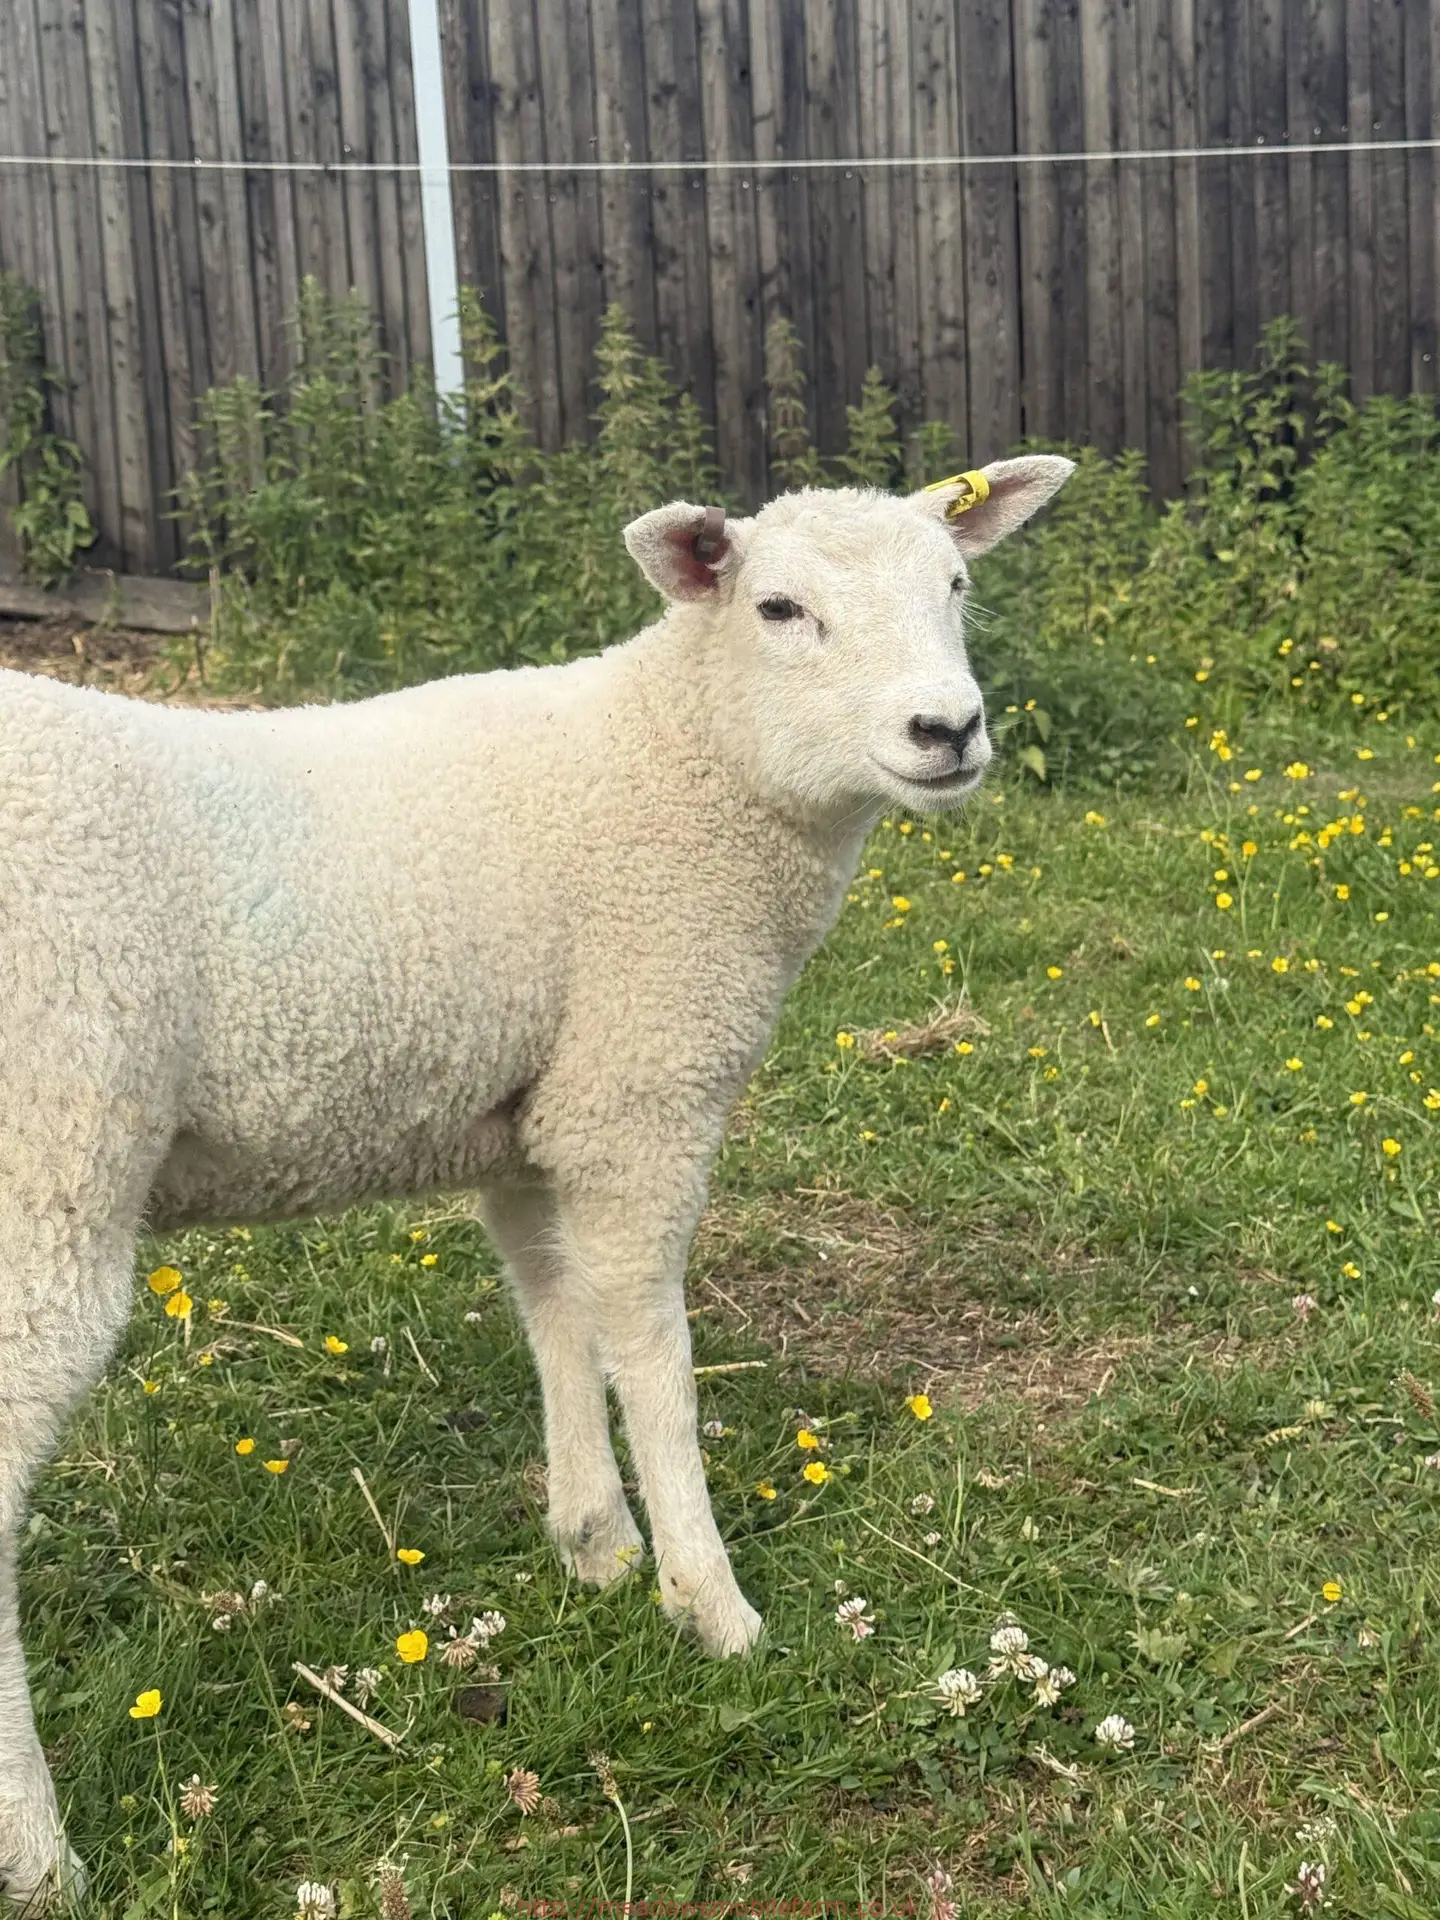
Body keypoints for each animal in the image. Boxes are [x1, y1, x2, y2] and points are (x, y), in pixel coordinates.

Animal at [0, 455, 1071, 1908]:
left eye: (956, 584)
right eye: (779, 607)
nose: (945, 731)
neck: (684, 768)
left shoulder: (524, 1118)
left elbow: (557, 1317)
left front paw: (595, 1545)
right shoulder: (638, 1090)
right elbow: (654, 1359)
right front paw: (711, 1605)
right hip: (47, 1163)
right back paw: (43, 1855)